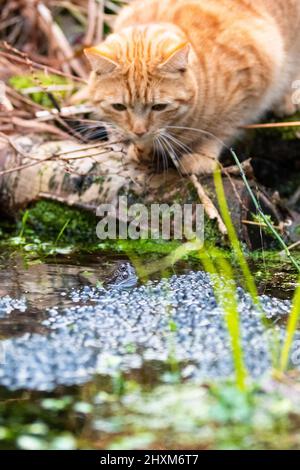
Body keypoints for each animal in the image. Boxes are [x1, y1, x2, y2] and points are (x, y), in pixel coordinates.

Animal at [84, 0, 300, 174]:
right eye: (119, 107)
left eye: (159, 107)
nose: (139, 132)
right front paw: (141, 148)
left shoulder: (251, 86)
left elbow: (222, 129)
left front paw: (203, 156)